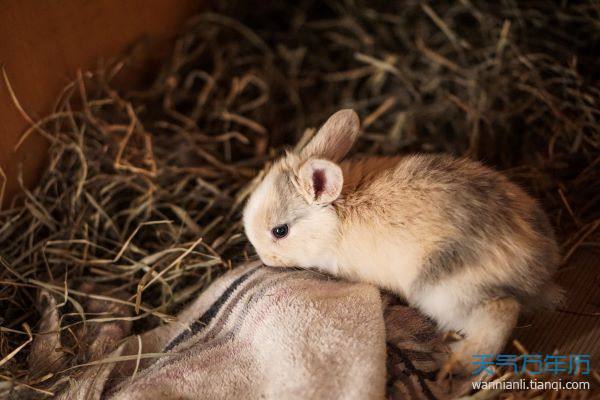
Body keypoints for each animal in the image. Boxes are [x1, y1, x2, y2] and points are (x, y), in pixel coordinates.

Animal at [243, 109, 564, 372]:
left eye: (280, 231)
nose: (262, 257)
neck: (337, 217)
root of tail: (539, 270)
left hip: (446, 292)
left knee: (502, 312)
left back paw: (455, 363)